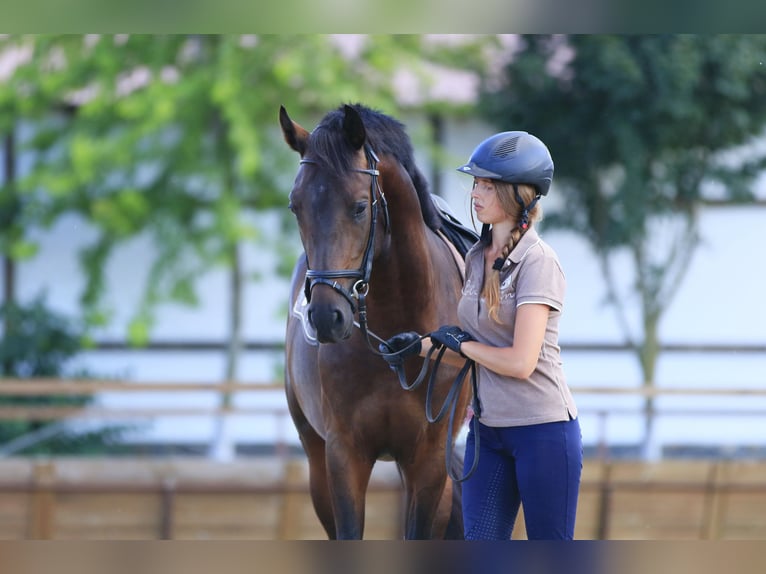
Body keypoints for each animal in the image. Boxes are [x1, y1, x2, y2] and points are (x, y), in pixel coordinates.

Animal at [280, 103, 474, 540]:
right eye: (296, 207)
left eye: (359, 206)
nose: (326, 317)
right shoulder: (343, 454)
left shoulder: (428, 461)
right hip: (315, 456)